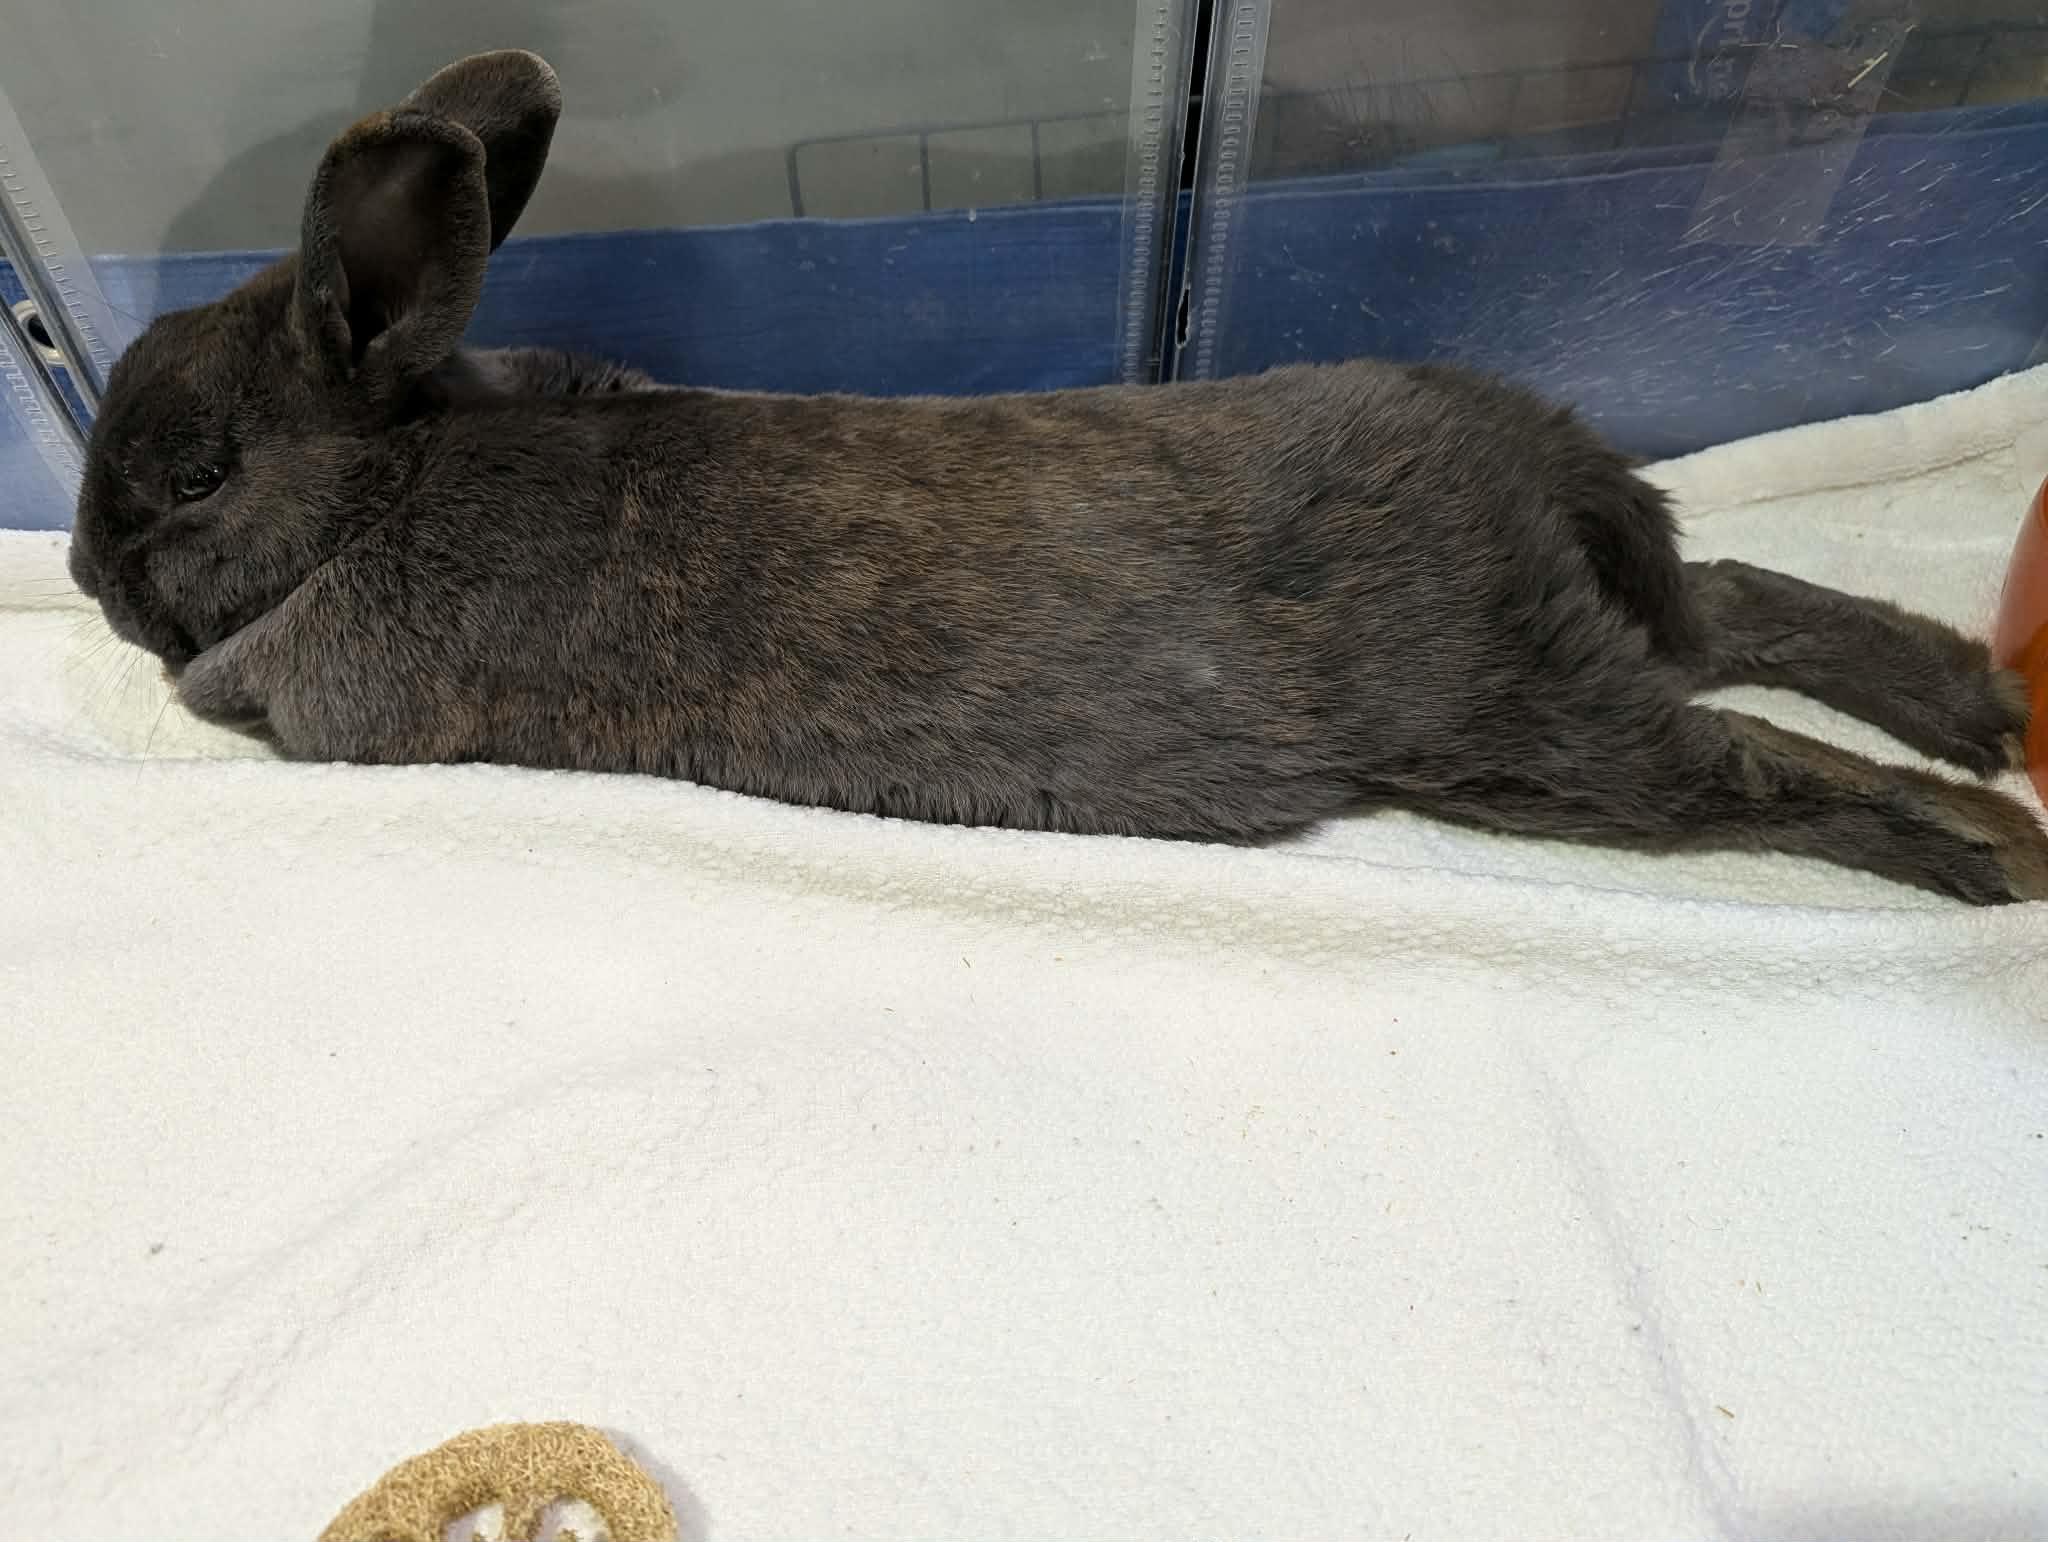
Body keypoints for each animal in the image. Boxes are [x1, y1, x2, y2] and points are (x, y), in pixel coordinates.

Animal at [66, 50, 2048, 905]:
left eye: (194, 475)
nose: (82, 575)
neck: (389, 474)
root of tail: (1524, 464)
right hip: (1585, 651)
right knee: (1730, 606)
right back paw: (1975, 710)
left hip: (1529, 735)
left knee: (1738, 750)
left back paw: (1993, 850)